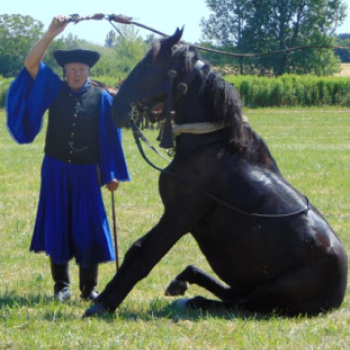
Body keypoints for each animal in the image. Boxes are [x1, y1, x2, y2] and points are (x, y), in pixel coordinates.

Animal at [82, 28, 348, 316]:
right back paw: (183, 282)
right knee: (232, 296)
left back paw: (193, 298)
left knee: (238, 305)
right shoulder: (174, 215)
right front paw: (104, 297)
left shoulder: (179, 216)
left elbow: (145, 256)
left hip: (269, 294)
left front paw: (105, 303)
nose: (116, 108)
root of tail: (338, 296)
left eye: (148, 66)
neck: (209, 145)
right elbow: (136, 249)